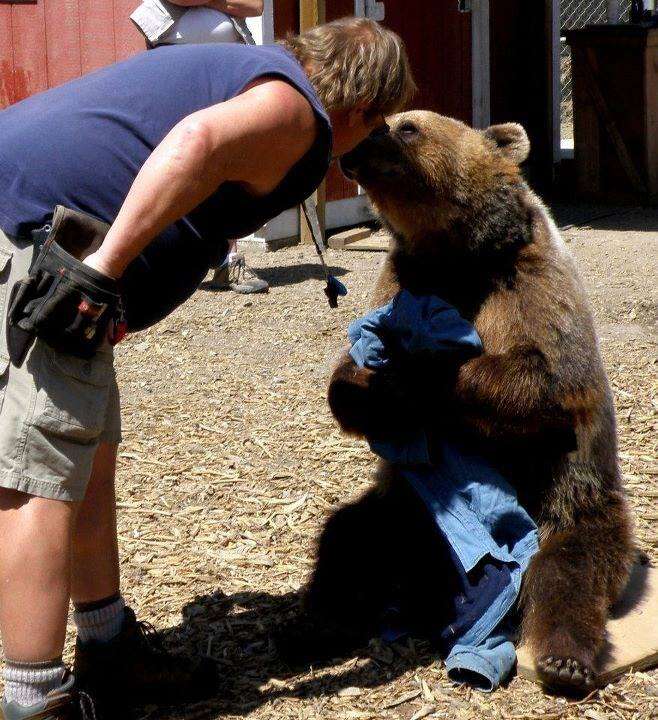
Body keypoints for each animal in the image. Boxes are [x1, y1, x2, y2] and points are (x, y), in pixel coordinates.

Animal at [279, 111, 635, 694]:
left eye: (405, 126)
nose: (353, 148)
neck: (456, 253)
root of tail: (431, 579)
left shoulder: (527, 283)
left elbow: (542, 381)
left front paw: (412, 362)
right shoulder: (404, 278)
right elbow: (348, 389)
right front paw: (360, 373)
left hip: (568, 498)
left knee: (572, 569)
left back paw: (564, 659)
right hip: (403, 509)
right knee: (349, 542)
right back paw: (310, 627)